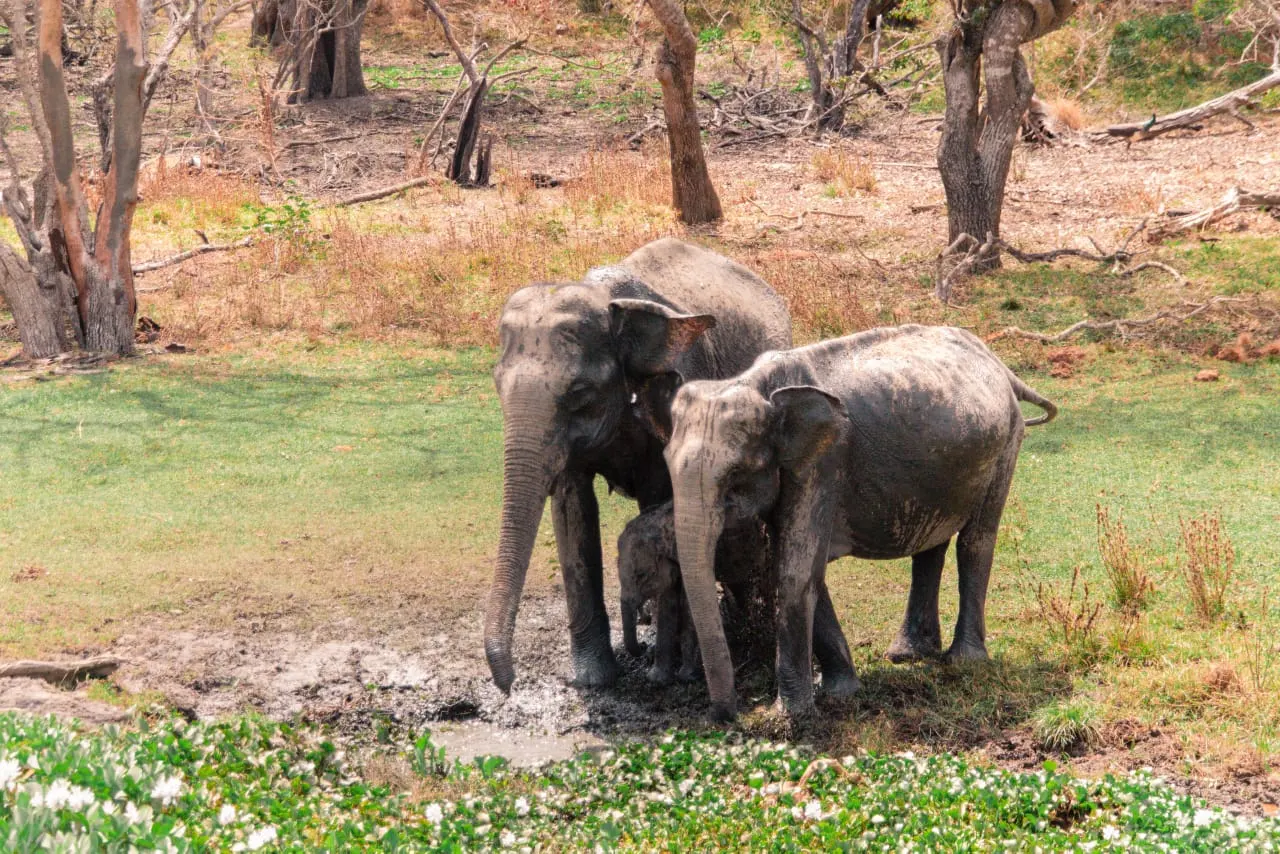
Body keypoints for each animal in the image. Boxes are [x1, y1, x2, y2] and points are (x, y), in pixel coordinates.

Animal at [485, 237, 844, 694]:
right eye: (497, 385)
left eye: (580, 392)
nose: (509, 685)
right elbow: (572, 507)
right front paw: (594, 680)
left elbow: (659, 495)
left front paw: (665, 665)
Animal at [662, 325, 1058, 720]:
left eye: (735, 475)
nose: (728, 715)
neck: (756, 384)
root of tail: (999, 364)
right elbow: (801, 567)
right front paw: (839, 693)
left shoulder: (823, 460)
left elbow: (796, 569)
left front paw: (789, 717)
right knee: (931, 543)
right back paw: (908, 655)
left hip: (1007, 442)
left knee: (976, 541)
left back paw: (964, 662)